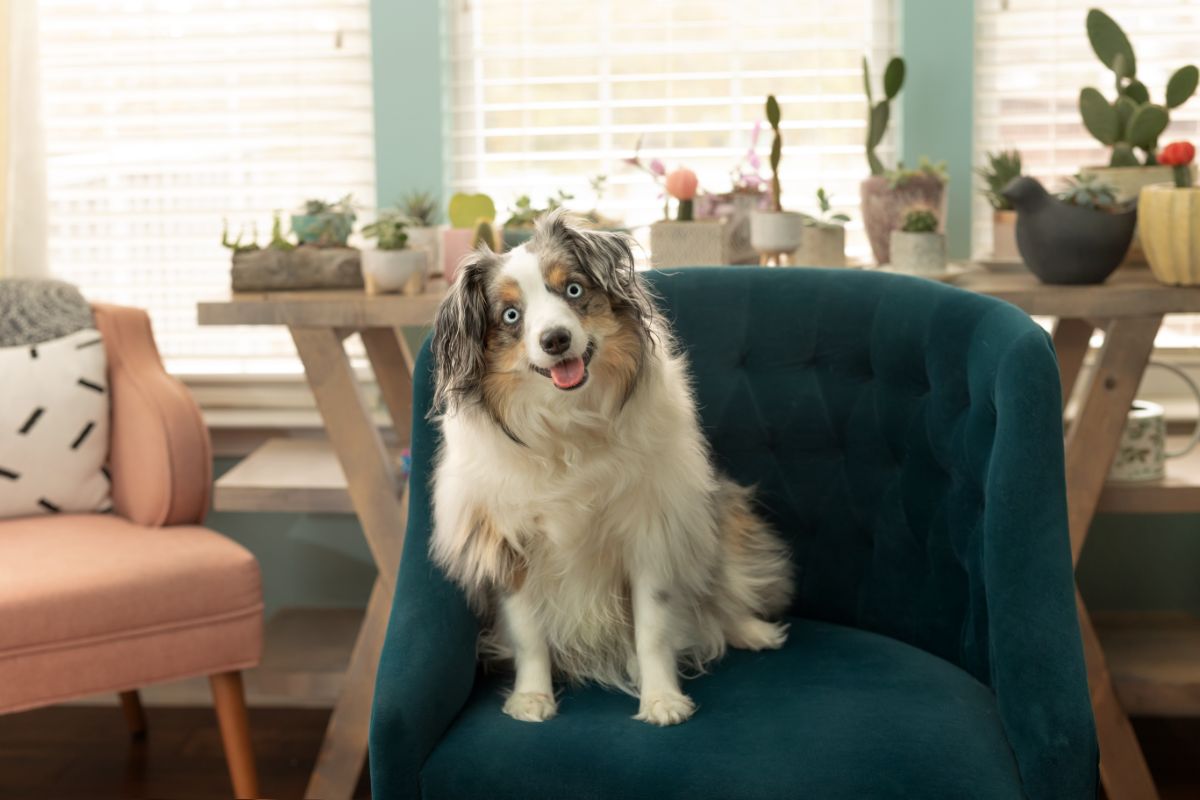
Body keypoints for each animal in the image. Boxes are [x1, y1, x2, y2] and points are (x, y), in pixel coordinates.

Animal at [427, 211, 792, 724]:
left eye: (573, 289)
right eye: (511, 316)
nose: (556, 340)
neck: (569, 423)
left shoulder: (651, 532)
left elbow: (653, 629)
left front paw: (661, 699)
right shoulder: (509, 544)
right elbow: (528, 634)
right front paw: (531, 697)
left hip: (721, 515)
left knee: (720, 588)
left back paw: (751, 630)